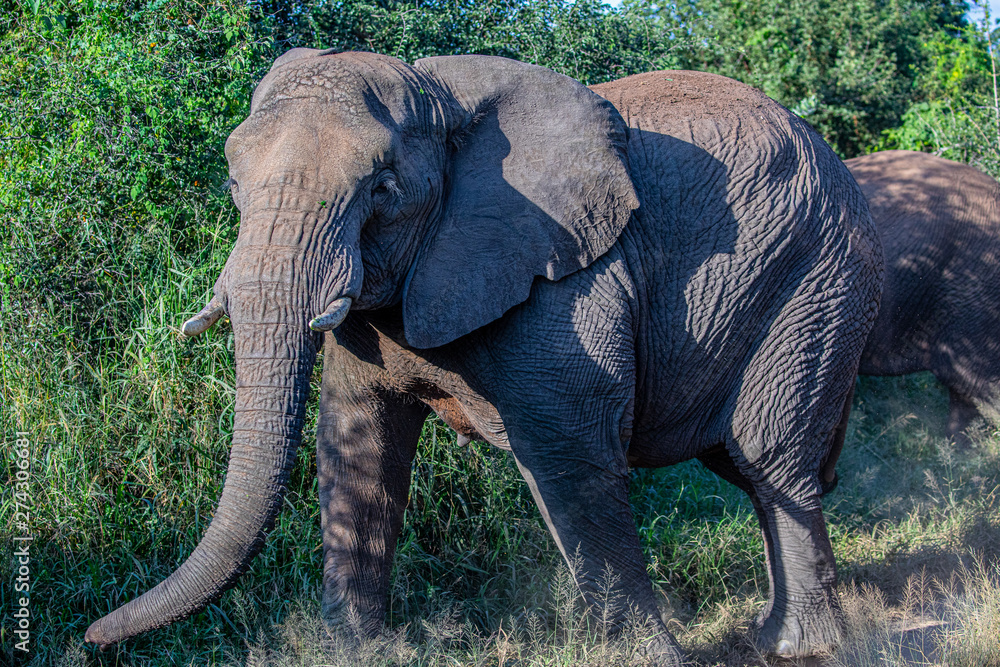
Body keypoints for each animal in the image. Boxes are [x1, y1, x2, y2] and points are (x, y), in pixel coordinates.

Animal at [84, 50, 883, 663]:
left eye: (383, 188)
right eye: (231, 182)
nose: (91, 636)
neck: (443, 107)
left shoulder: (562, 278)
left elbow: (570, 455)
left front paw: (646, 657)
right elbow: (357, 445)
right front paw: (352, 651)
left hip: (817, 276)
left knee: (767, 452)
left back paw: (800, 646)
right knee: (751, 467)